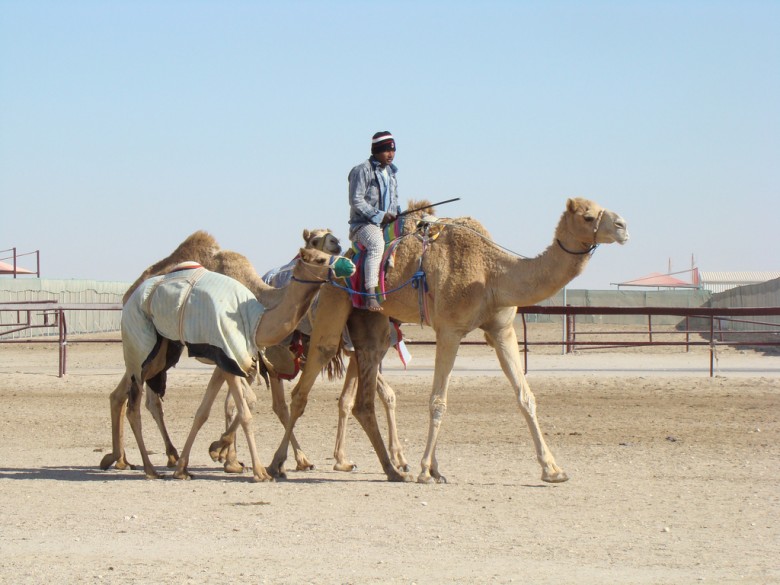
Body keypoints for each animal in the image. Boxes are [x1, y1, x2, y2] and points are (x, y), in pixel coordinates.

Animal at [268, 198, 628, 482]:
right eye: (587, 215)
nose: (623, 225)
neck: (493, 273)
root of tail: (344, 256)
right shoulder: (450, 330)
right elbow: (438, 401)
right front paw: (427, 470)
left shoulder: (502, 330)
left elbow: (525, 396)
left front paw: (553, 469)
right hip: (333, 308)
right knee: (304, 386)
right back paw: (280, 465)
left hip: (373, 325)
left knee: (361, 398)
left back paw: (389, 469)